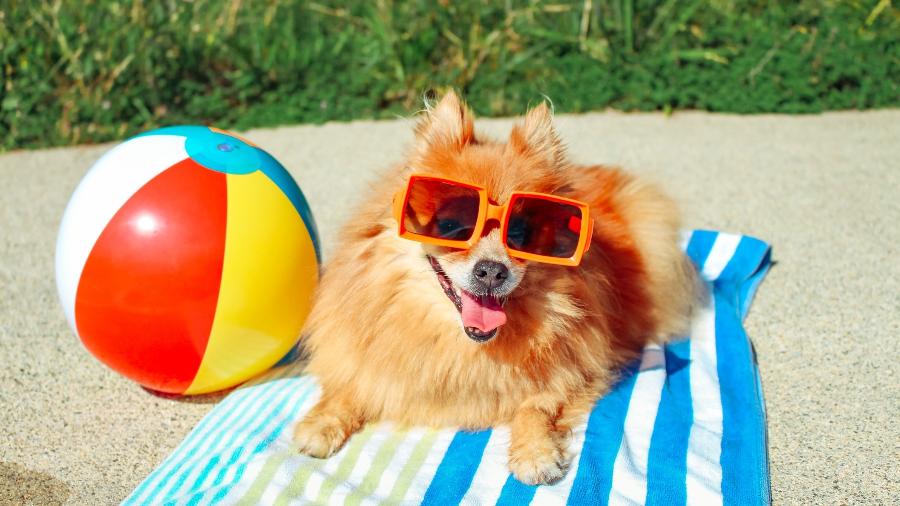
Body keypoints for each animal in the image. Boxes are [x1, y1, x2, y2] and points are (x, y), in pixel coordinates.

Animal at [294, 92, 696, 486]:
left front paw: (535, 451)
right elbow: (351, 381)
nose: (492, 271)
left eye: (518, 233)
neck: (464, 346)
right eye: (451, 226)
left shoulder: (578, 370)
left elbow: (537, 404)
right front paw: (322, 422)